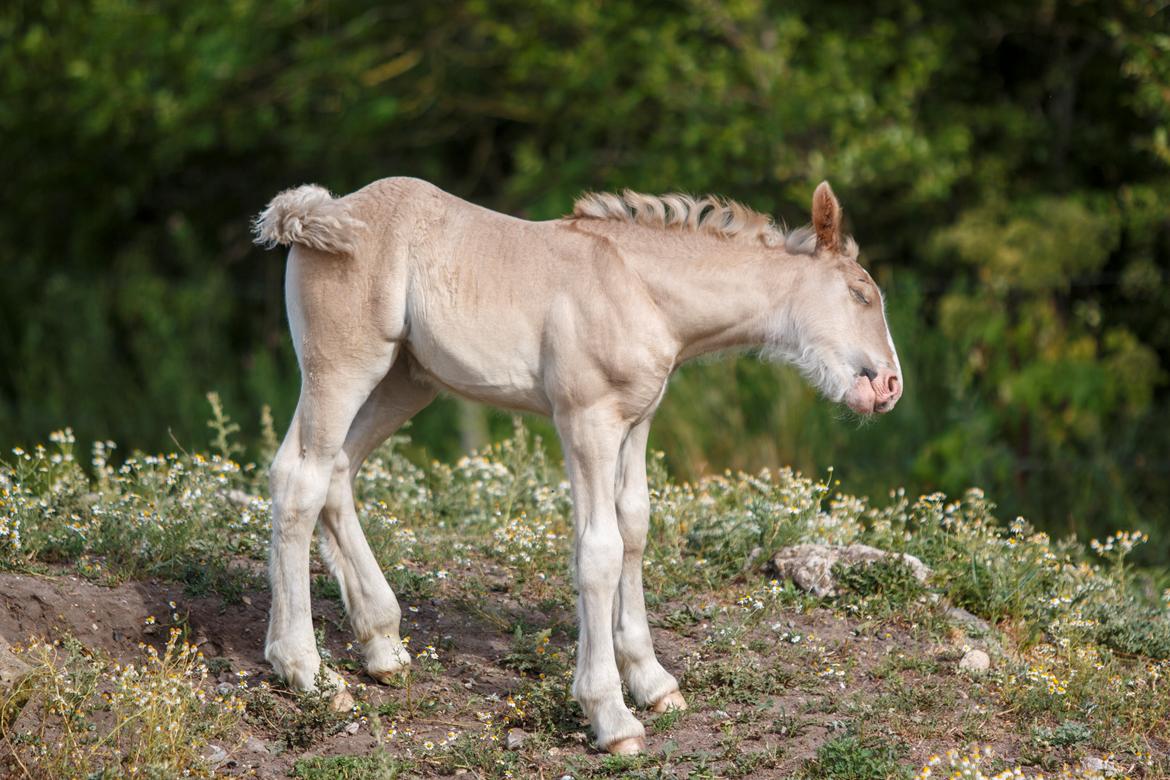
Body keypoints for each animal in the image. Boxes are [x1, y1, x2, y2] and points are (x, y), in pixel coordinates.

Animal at [251, 178, 898, 757]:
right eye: (861, 293)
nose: (889, 387)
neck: (640, 289)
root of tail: (323, 212)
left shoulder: (637, 421)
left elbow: (634, 529)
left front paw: (652, 682)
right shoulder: (587, 420)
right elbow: (599, 550)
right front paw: (611, 715)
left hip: (406, 381)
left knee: (336, 472)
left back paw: (382, 646)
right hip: (342, 368)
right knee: (298, 480)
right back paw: (307, 672)